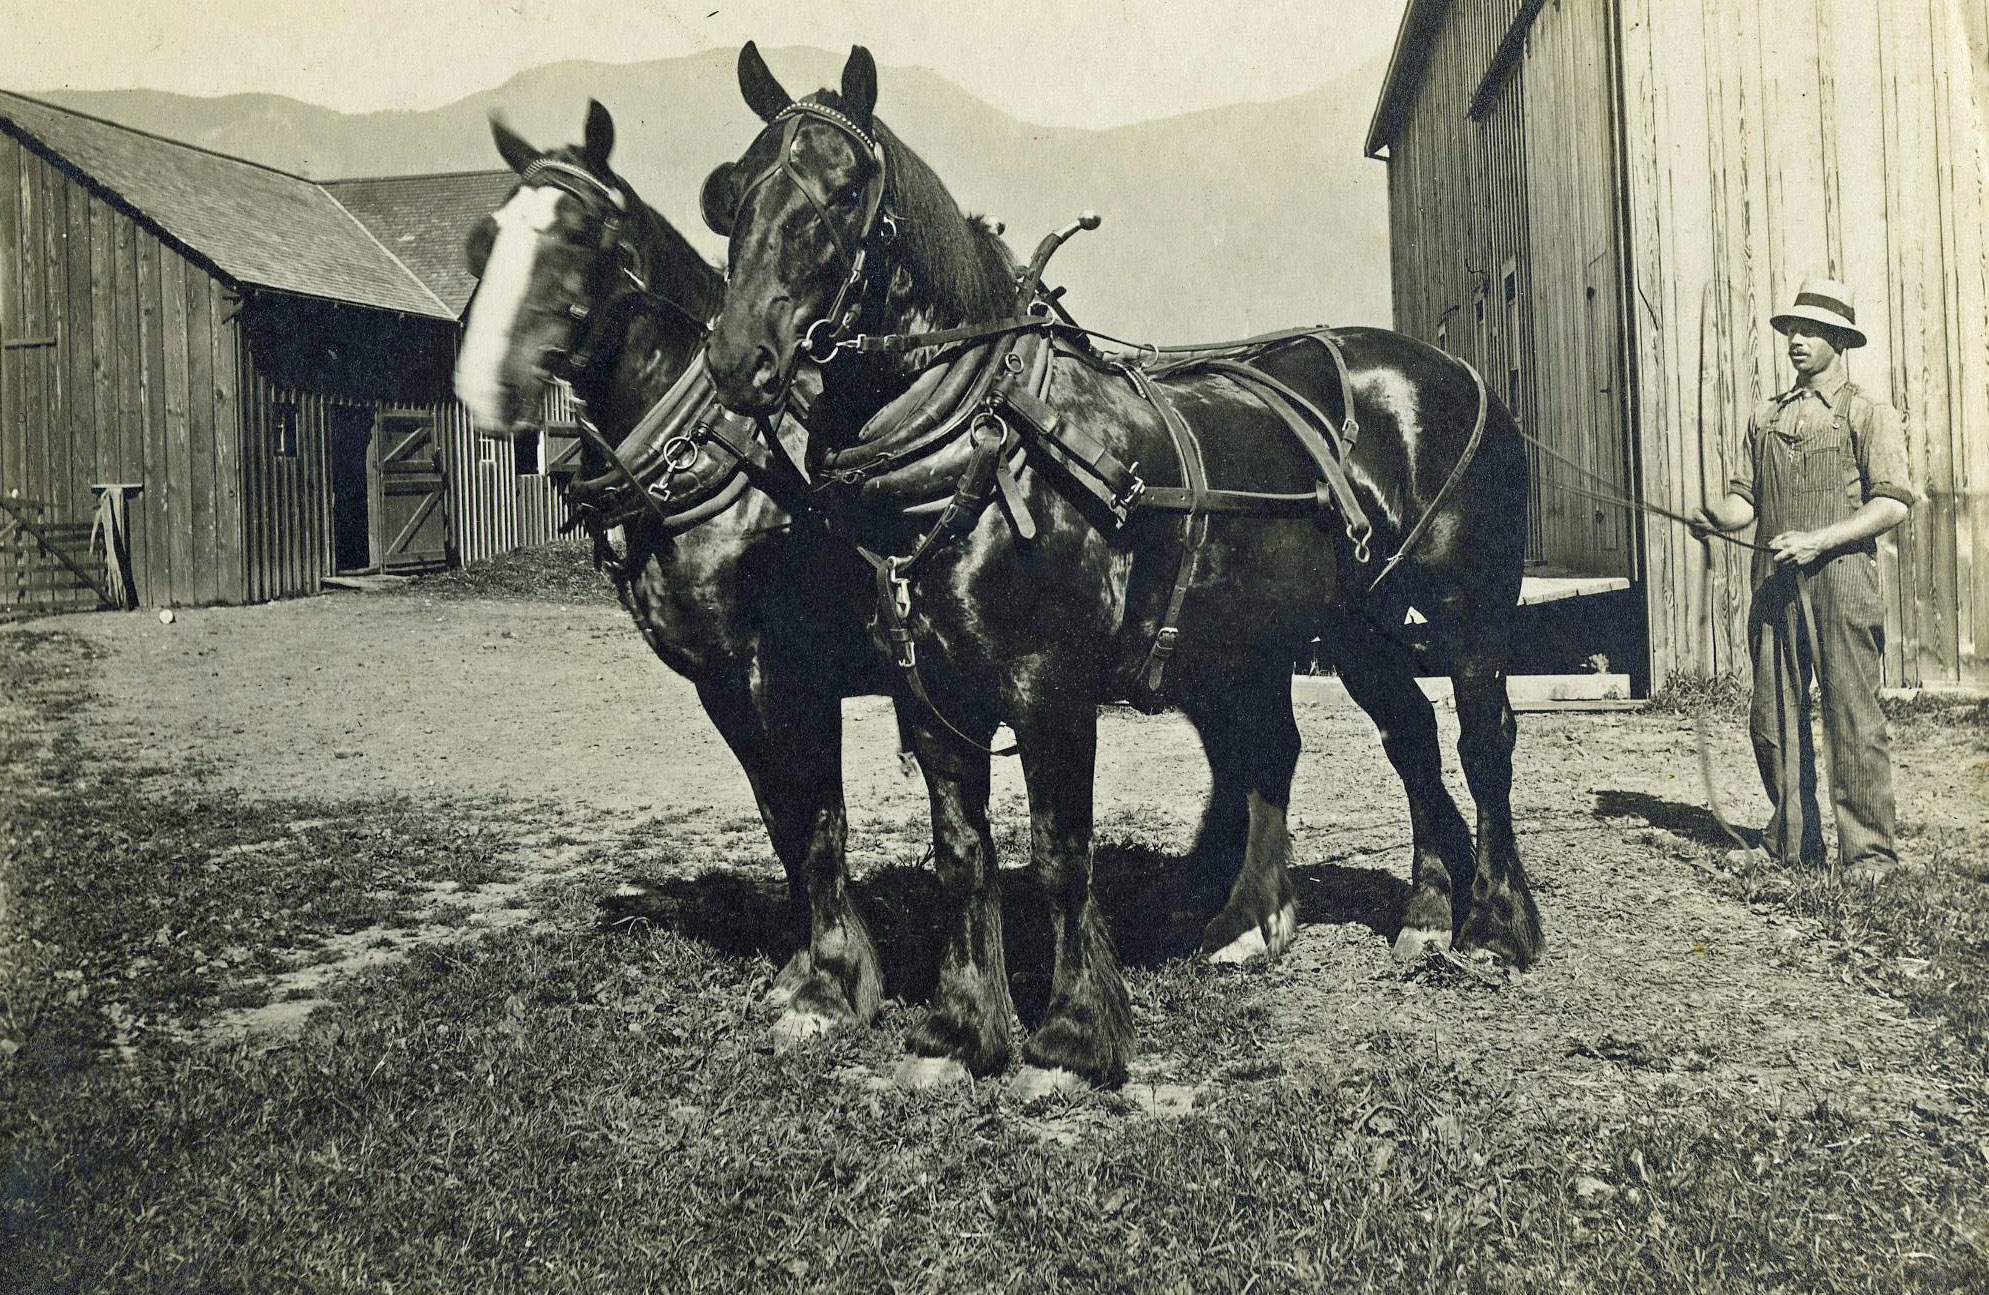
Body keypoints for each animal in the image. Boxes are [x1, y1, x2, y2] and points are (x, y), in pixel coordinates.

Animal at [453, 106, 910, 1050]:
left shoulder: (791, 676)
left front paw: (834, 987)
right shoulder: (721, 681)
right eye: (487, 238)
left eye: (578, 233)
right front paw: (803, 969)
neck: (738, 462)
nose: (479, 385)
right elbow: (781, 817)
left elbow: (818, 819)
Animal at [704, 43, 1551, 1098]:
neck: (989, 438)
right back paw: (1404, 914)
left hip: (1467, 611)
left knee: (1483, 742)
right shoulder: (929, 695)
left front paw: (1071, 1036)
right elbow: (960, 856)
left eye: (847, 188)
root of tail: (1455, 375)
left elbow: (1060, 855)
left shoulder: (1050, 688)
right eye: (736, 191)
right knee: (1407, 737)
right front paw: (960, 1029)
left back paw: (1496, 925)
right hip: (1347, 626)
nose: (739, 358)